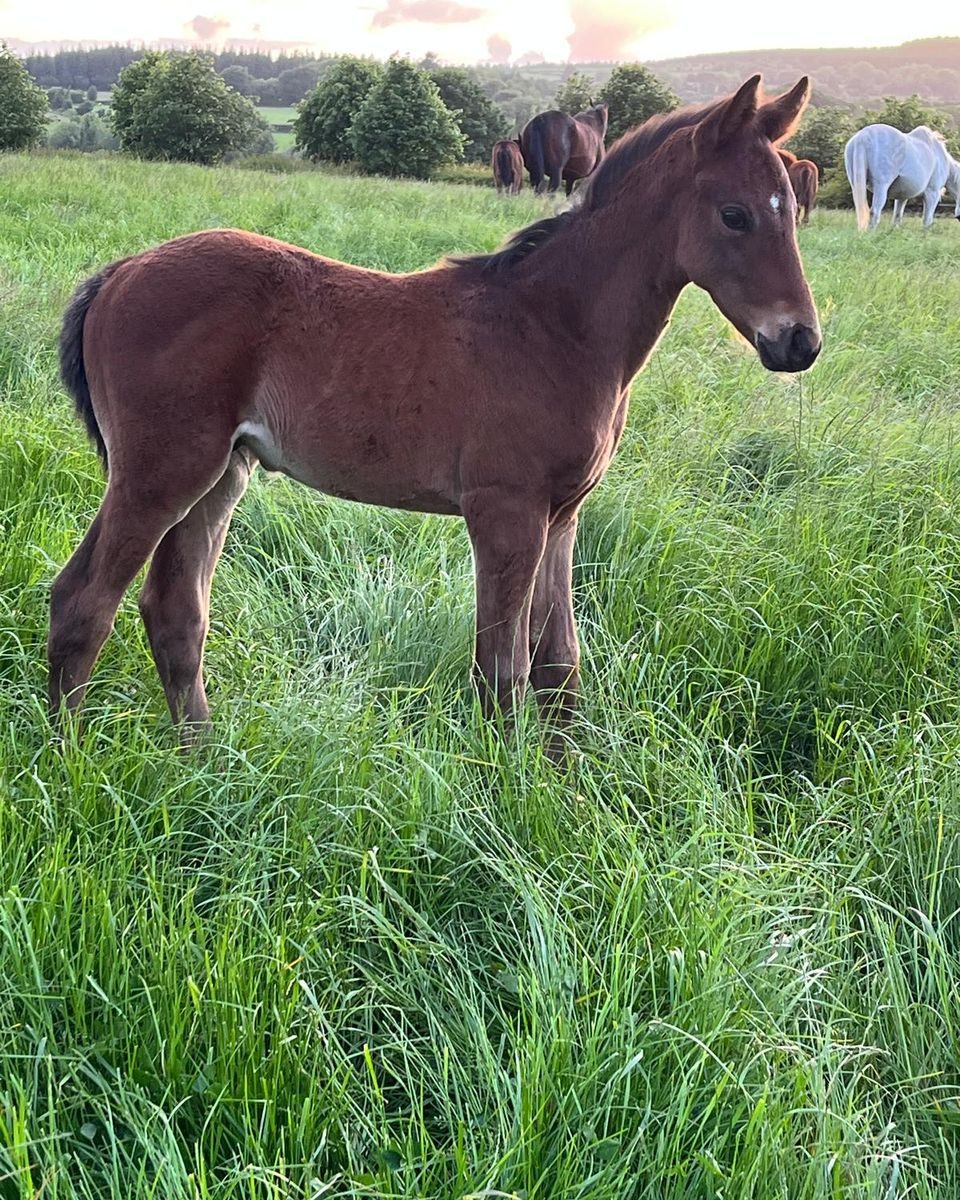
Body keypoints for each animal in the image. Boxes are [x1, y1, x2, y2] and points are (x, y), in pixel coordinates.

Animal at [49, 75, 821, 758]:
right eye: (735, 214)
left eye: (793, 208)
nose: (800, 342)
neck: (552, 327)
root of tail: (119, 272)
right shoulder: (505, 511)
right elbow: (501, 671)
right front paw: (508, 797)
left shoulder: (562, 515)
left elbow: (559, 667)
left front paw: (567, 788)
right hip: (161, 471)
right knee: (83, 600)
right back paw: (68, 763)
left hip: (221, 474)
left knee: (174, 609)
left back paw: (203, 763)